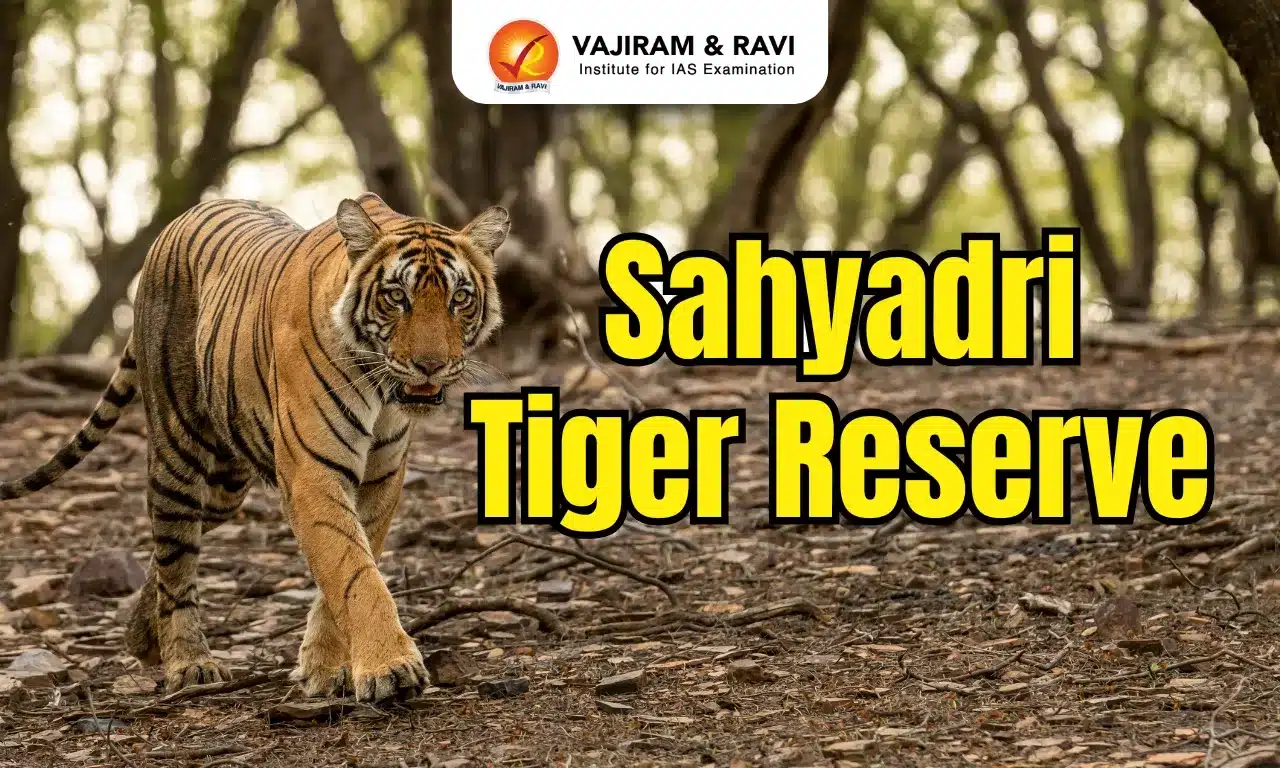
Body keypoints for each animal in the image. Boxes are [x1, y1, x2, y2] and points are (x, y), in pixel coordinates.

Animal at [0, 192, 507, 703]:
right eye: (396, 297)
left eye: (459, 298)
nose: (430, 365)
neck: (382, 391)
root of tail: (181, 218)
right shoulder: (313, 474)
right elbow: (354, 573)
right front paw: (391, 667)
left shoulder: (379, 479)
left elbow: (345, 570)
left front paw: (324, 669)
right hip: (177, 453)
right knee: (175, 558)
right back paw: (188, 663)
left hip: (226, 484)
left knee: (172, 551)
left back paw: (142, 638)